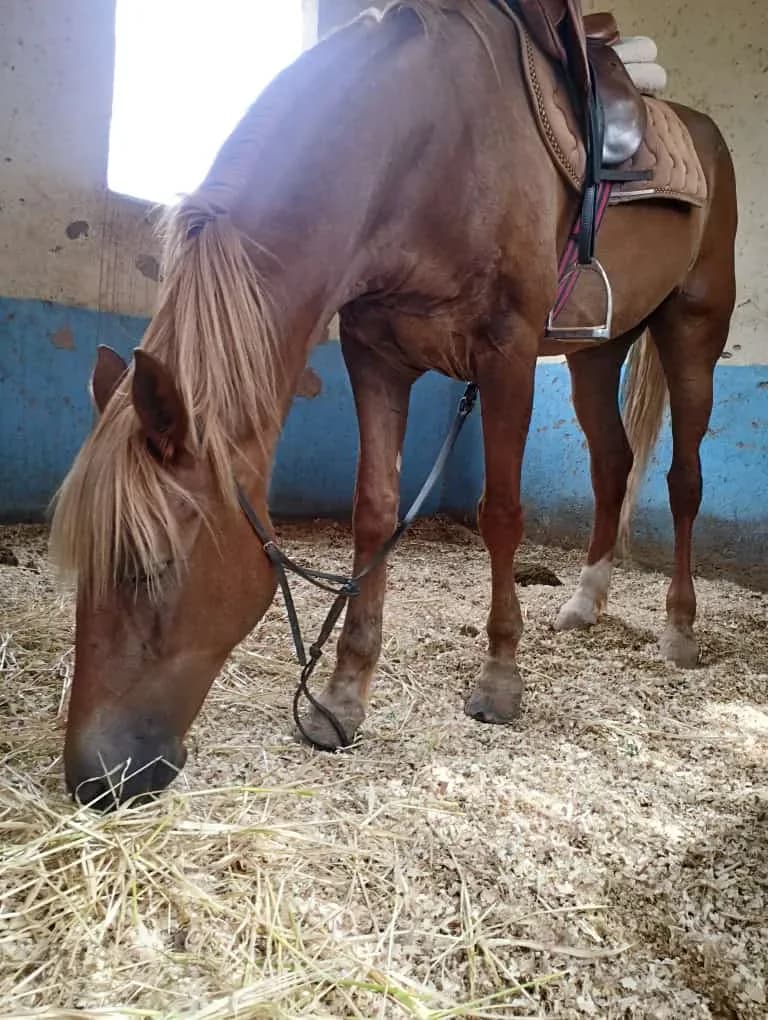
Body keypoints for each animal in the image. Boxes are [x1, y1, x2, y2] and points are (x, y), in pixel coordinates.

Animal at [50, 0, 737, 808]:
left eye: (150, 568)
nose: (96, 778)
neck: (429, 151)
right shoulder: (375, 357)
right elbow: (375, 512)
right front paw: (342, 698)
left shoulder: (507, 356)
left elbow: (502, 515)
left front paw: (500, 682)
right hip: (597, 350)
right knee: (612, 466)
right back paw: (585, 602)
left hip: (693, 331)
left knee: (683, 480)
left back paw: (679, 630)